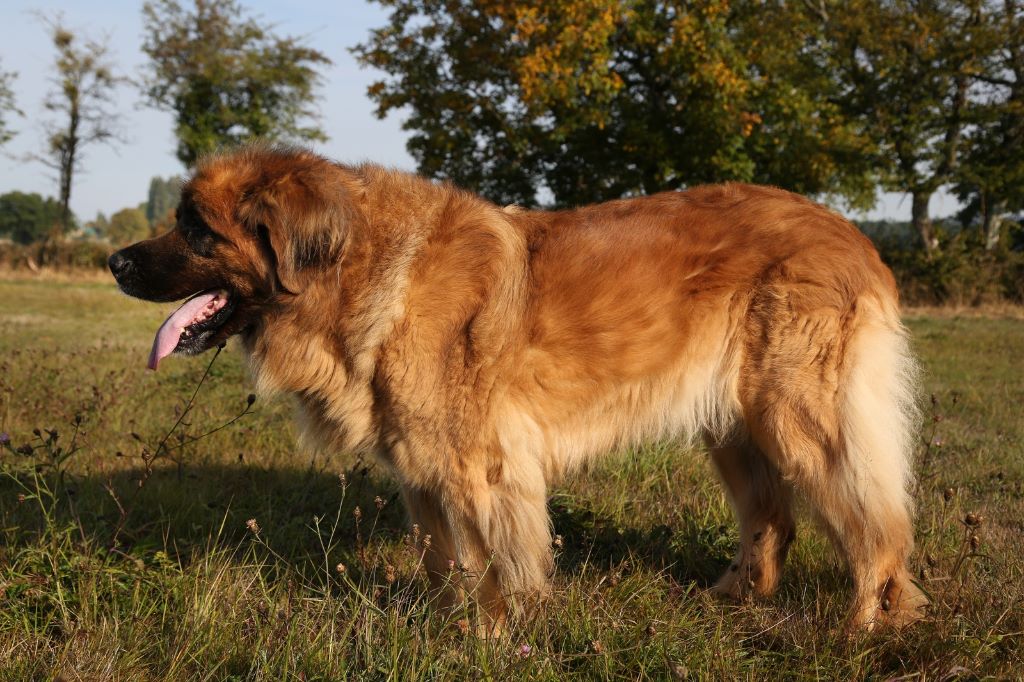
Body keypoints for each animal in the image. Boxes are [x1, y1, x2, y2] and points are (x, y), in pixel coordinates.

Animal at [108, 144, 925, 630]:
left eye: (197, 231)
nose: (115, 262)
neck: (357, 271)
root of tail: (856, 237)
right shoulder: (422, 469)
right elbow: (445, 563)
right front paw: (444, 633)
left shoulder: (478, 467)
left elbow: (492, 565)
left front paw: (494, 636)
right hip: (731, 425)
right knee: (773, 521)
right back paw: (732, 599)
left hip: (799, 416)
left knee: (872, 523)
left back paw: (863, 626)